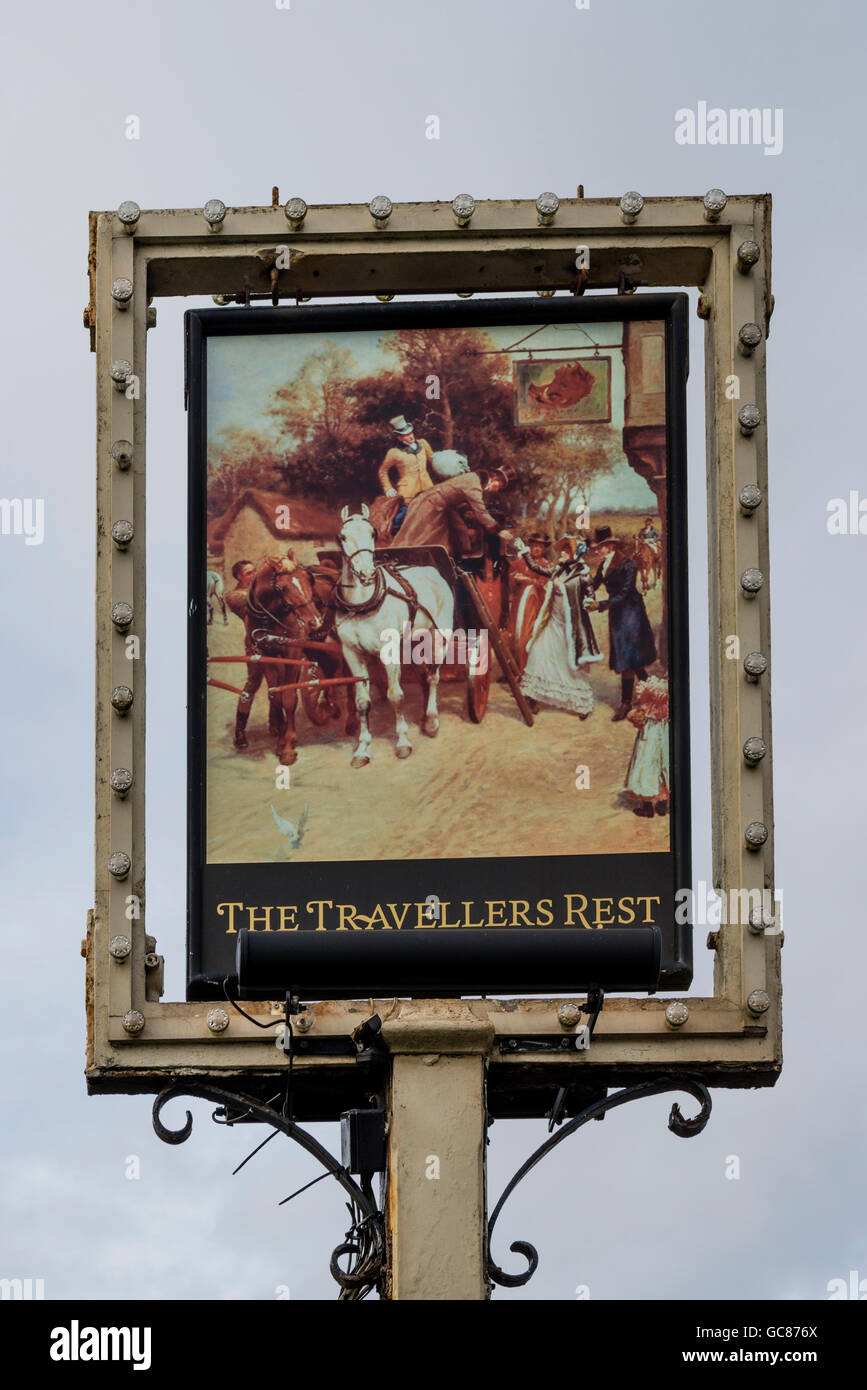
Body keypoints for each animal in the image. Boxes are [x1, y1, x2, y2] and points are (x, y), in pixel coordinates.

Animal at [332, 508, 452, 772]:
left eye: (373, 533)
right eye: (342, 536)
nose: (366, 574)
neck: (361, 605)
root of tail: (433, 571)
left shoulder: (389, 653)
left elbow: (396, 696)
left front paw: (403, 742)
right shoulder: (352, 654)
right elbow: (362, 702)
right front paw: (363, 749)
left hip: (438, 638)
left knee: (433, 677)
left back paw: (431, 720)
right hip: (412, 642)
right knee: (424, 676)